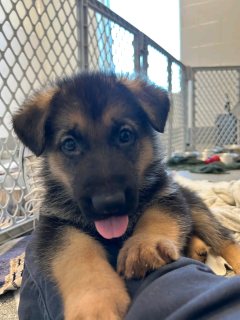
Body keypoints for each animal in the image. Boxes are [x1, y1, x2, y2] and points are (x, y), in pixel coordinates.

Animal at [13, 71, 240, 318]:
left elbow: (156, 217)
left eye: (125, 135)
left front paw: (144, 246)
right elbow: (77, 253)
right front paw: (96, 303)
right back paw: (197, 248)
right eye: (69, 144)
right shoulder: (57, 226)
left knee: (223, 239)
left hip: (196, 207)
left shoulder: (165, 196)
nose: (109, 203)